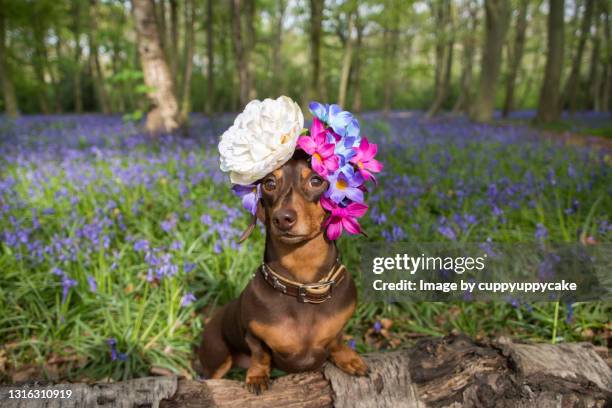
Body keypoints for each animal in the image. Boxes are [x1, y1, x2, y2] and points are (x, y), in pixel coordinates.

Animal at [198, 151, 366, 396]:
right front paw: (257, 377)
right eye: (269, 183)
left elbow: (336, 341)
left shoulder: (339, 328)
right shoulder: (254, 336)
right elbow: (260, 355)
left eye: (316, 180)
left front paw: (348, 359)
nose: (283, 219)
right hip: (217, 358)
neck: (303, 286)